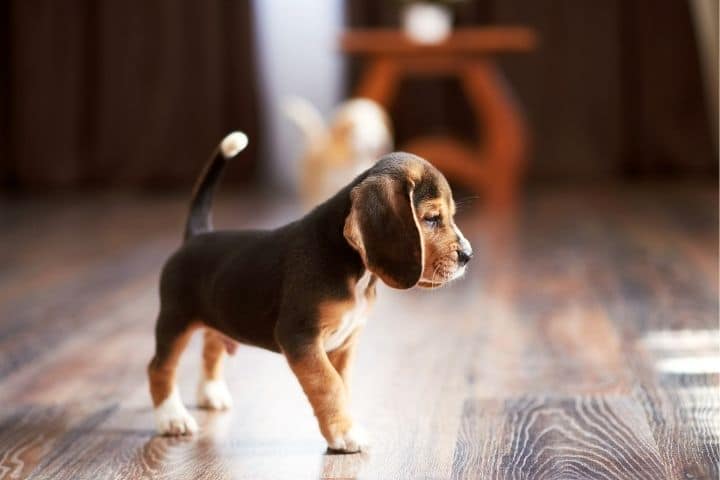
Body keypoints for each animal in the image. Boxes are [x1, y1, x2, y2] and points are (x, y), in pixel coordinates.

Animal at [147, 130, 472, 450]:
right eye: (431, 219)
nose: (468, 255)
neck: (354, 268)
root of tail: (196, 235)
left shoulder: (345, 343)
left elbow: (342, 384)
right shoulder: (300, 337)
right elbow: (329, 385)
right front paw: (344, 433)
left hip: (217, 315)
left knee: (211, 347)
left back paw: (211, 392)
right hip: (175, 322)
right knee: (160, 368)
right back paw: (171, 418)